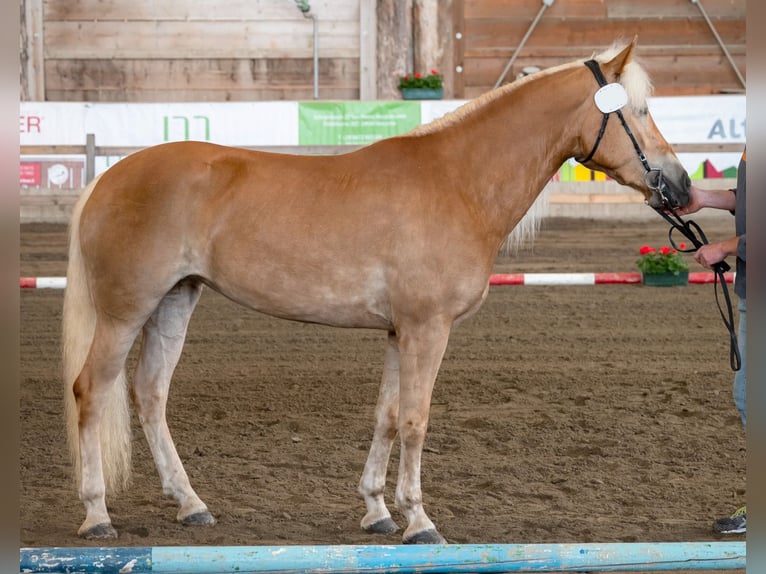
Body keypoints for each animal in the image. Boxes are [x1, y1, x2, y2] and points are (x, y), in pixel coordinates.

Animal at [63, 39, 692, 544]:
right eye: (638, 111)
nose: (681, 186)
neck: (457, 182)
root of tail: (107, 178)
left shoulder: (399, 331)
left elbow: (386, 416)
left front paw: (377, 511)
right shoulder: (427, 329)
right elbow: (415, 420)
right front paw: (419, 520)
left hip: (176, 300)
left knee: (150, 393)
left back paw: (191, 504)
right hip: (125, 312)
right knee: (92, 390)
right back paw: (96, 515)